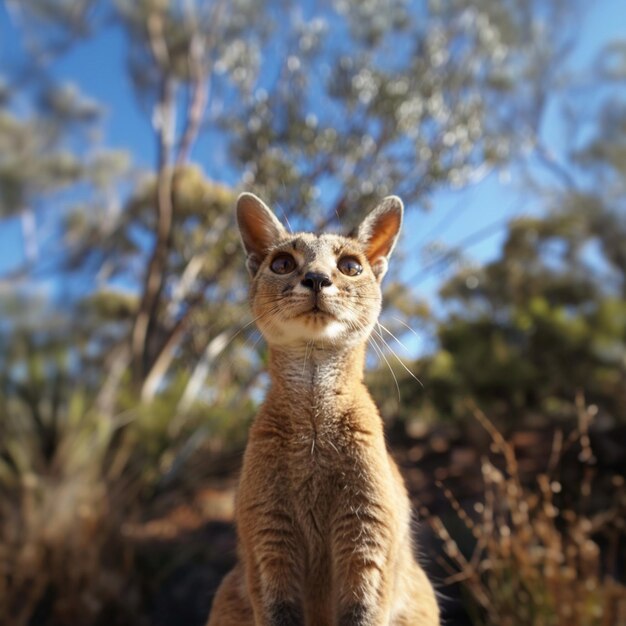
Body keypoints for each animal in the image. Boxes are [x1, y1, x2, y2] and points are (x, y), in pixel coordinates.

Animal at [206, 193, 438, 620]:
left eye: (350, 266)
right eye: (282, 263)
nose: (316, 279)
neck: (314, 418)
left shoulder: (368, 538)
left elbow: (362, 610)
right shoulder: (268, 538)